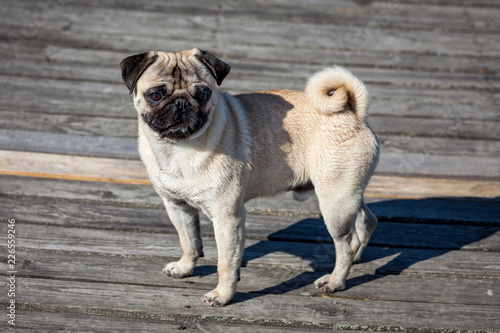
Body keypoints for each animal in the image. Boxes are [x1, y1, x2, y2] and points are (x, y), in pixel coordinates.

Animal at [120, 47, 378, 306]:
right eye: (155, 95)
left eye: (203, 94)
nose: (181, 103)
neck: (178, 148)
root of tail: (354, 112)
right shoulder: (177, 207)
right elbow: (189, 241)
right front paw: (184, 268)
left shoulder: (227, 218)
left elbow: (226, 263)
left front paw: (222, 295)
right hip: (346, 193)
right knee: (366, 219)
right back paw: (356, 259)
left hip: (334, 201)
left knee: (346, 243)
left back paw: (335, 280)